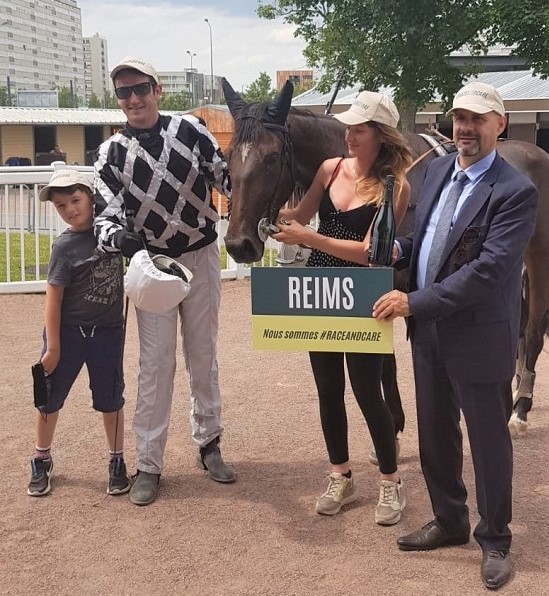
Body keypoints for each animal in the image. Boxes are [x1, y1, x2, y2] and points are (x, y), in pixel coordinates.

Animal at [219, 77, 548, 436]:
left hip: (538, 257)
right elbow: (386, 361)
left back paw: (520, 407)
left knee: (533, 329)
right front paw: (395, 419)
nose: (238, 244)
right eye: (228, 156)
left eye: (271, 157)